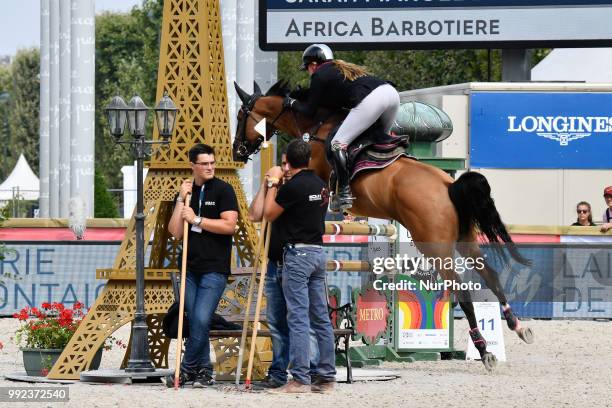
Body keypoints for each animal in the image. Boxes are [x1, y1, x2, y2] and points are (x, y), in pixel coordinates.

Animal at [234, 81, 536, 372]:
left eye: (240, 115)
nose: (237, 151)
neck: (315, 126)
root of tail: (448, 186)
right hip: (465, 240)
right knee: (490, 274)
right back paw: (517, 326)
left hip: (435, 248)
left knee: (461, 290)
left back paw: (485, 351)